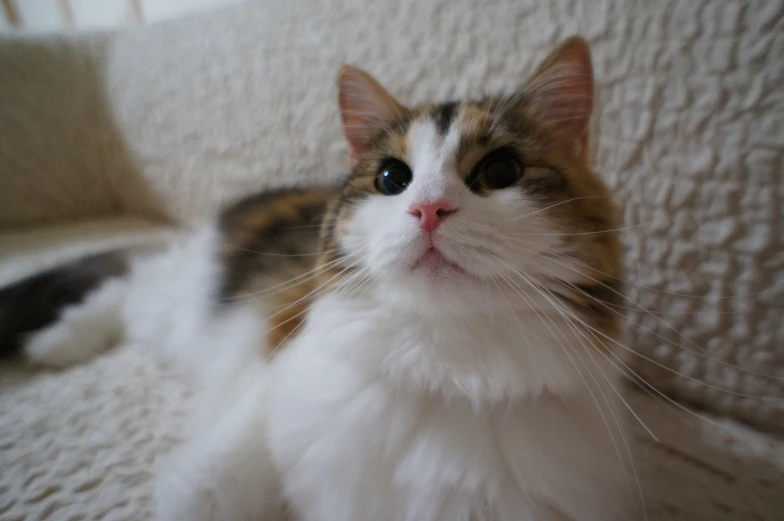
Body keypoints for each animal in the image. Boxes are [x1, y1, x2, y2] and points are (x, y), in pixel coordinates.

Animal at [0, 36, 632, 520]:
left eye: (501, 171)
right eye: (391, 178)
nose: (427, 209)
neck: (444, 363)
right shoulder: (280, 360)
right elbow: (209, 488)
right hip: (182, 304)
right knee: (129, 283)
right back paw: (60, 341)